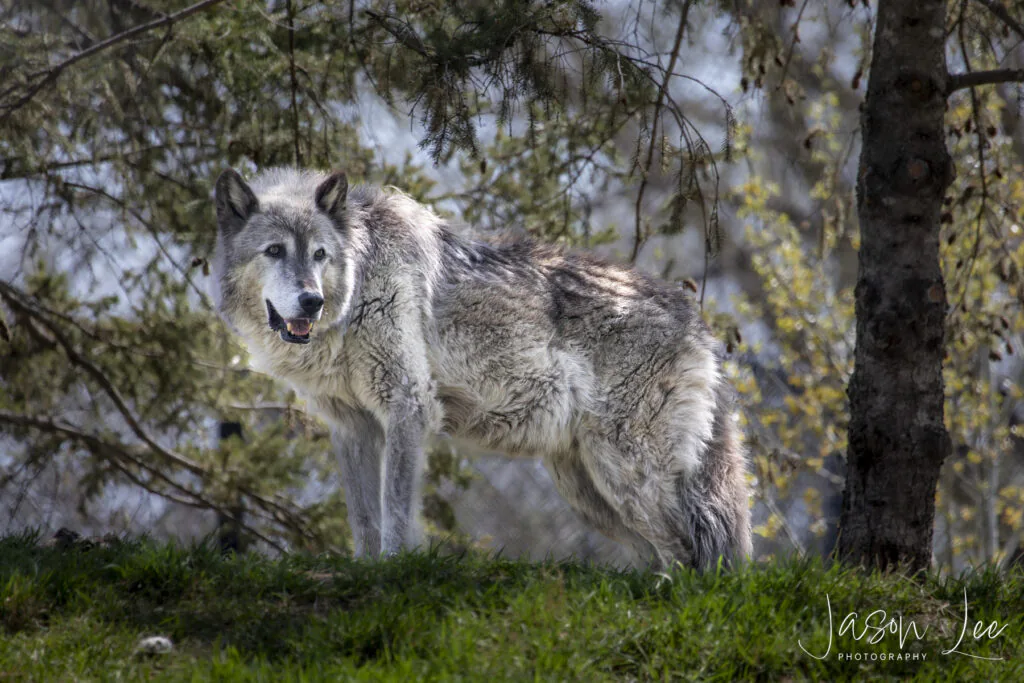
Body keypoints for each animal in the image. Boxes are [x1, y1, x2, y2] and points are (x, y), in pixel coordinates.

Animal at [211, 166, 752, 570]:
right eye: (275, 251)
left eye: (320, 255)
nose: (312, 301)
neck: (357, 288)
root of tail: (698, 322)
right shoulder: (351, 426)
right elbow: (363, 518)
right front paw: (364, 572)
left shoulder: (408, 407)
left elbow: (395, 511)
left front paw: (392, 571)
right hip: (591, 492)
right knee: (662, 554)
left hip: (627, 472)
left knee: (689, 552)